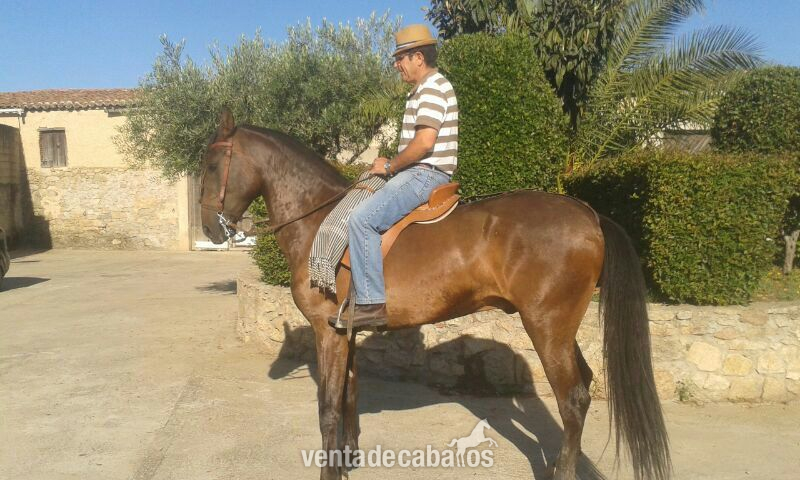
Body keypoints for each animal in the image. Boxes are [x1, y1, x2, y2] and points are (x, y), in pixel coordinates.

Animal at [199, 108, 670, 480]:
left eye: (211, 165)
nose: (209, 228)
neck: (320, 220)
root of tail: (589, 214)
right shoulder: (345, 332)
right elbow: (349, 393)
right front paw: (347, 458)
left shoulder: (327, 332)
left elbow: (327, 405)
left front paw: (330, 471)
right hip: (561, 329)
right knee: (585, 387)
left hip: (546, 328)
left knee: (572, 400)